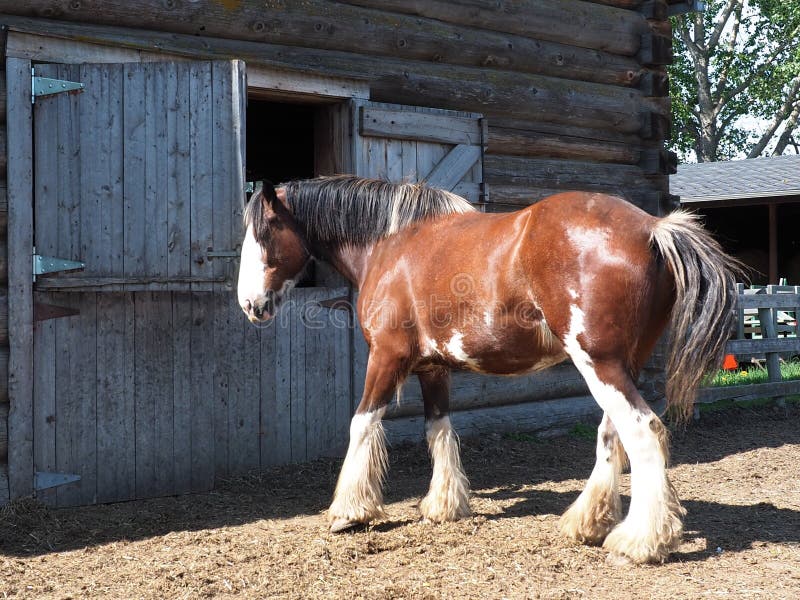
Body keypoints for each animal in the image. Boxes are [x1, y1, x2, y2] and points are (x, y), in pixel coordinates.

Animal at [236, 173, 736, 564]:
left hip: (600, 362)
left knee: (643, 432)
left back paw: (640, 541)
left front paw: (348, 512)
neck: (390, 244)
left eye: (265, 231)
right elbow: (438, 429)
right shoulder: (433, 367)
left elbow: (362, 423)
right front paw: (444, 505)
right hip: (618, 364)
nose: (249, 304)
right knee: (612, 433)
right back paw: (589, 523)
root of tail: (653, 227)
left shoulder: (387, 356)